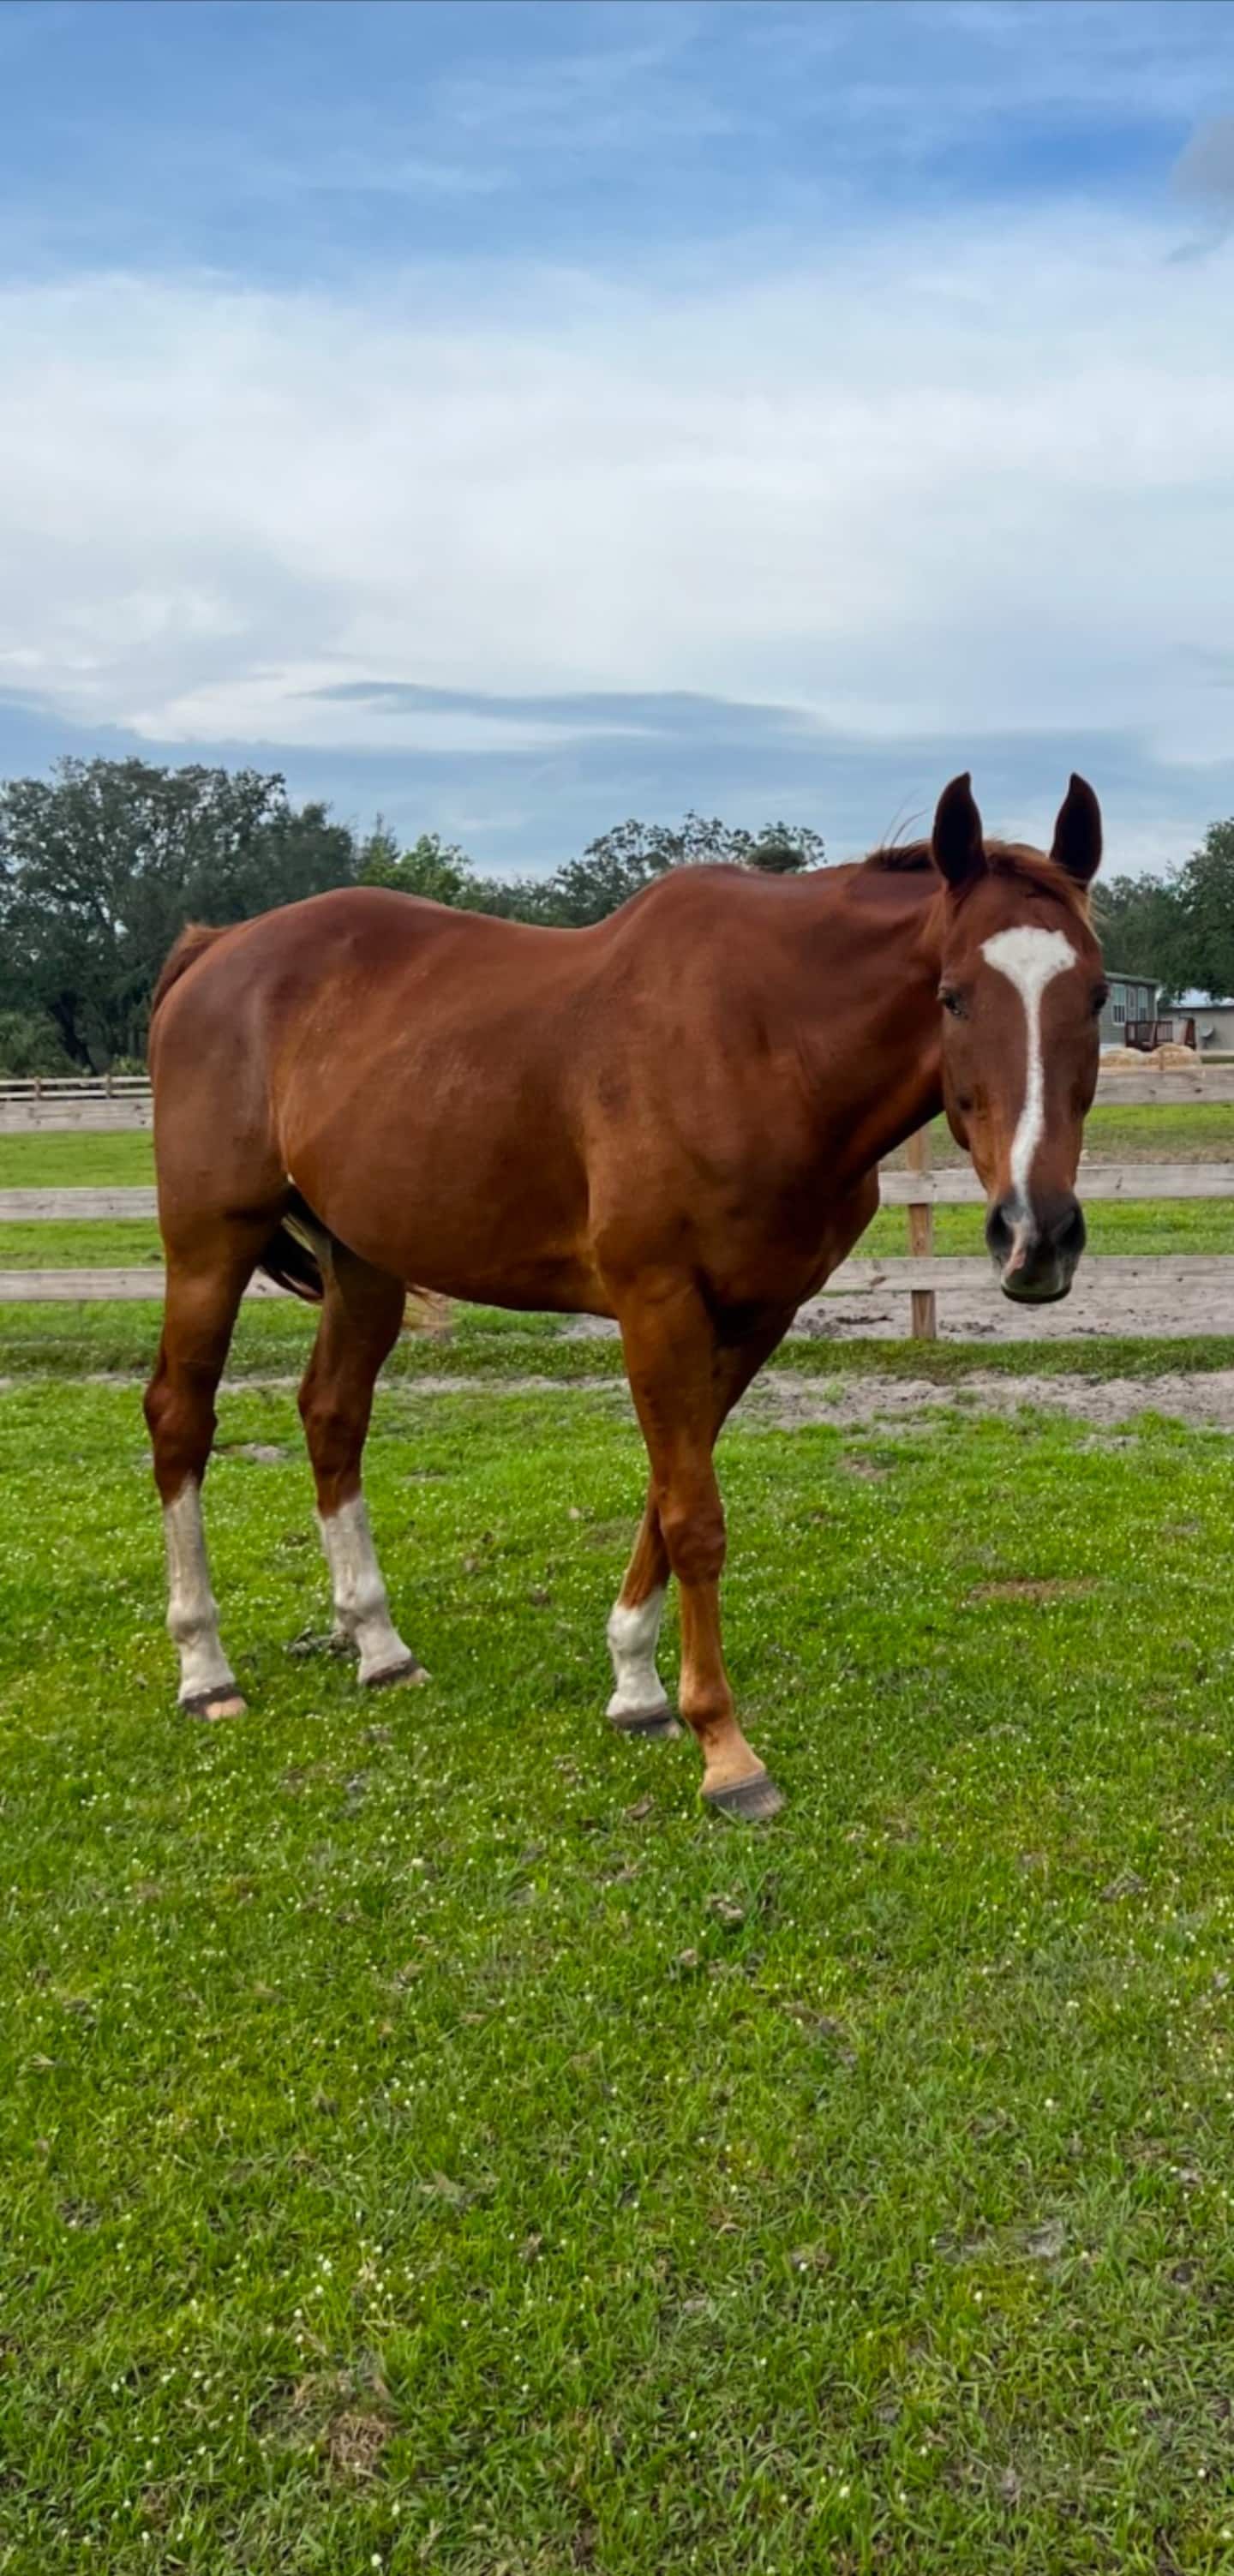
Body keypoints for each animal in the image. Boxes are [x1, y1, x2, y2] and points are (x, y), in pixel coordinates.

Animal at [144, 771, 1105, 1821]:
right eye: (952, 995)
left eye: (1097, 994)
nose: (1037, 1235)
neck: (764, 1042)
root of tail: (218, 950)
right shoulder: (658, 1307)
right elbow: (694, 1517)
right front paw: (724, 1748)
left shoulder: (754, 1316)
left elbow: (670, 1490)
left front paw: (639, 1689)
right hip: (210, 1244)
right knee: (181, 1419)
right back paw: (205, 1671)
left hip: (364, 1263)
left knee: (332, 1415)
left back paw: (379, 1645)